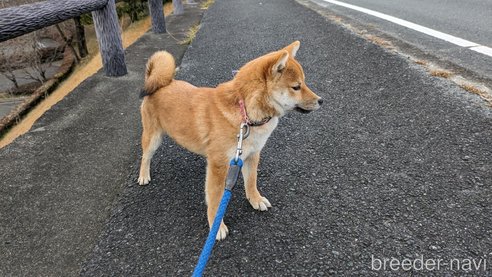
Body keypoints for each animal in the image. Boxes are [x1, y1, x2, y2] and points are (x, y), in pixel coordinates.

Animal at [138, 41, 322, 239]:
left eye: (304, 83)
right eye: (296, 87)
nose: (321, 100)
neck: (245, 113)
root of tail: (159, 83)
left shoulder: (251, 155)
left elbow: (251, 181)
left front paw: (255, 200)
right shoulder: (218, 165)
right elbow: (215, 199)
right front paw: (216, 226)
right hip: (153, 137)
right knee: (145, 157)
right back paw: (143, 175)